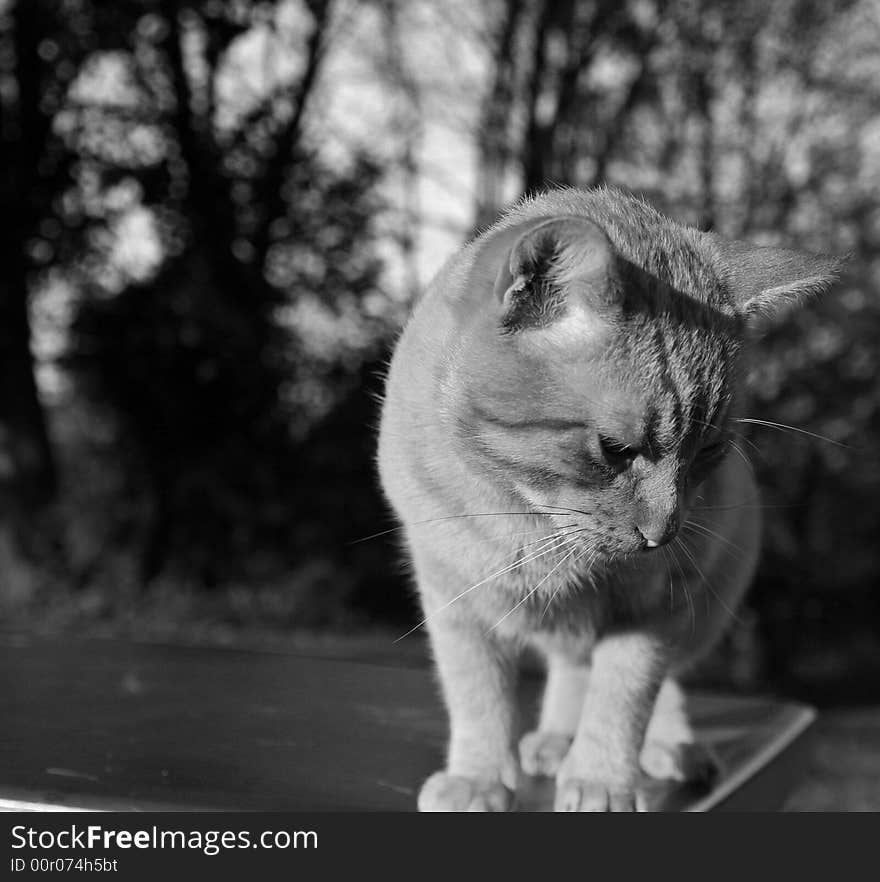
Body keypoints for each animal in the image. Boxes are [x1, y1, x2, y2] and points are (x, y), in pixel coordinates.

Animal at [376, 187, 840, 812]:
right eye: (615, 449)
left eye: (708, 452)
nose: (665, 531)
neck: (532, 524)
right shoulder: (456, 602)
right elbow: (478, 698)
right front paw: (480, 777)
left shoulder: (655, 607)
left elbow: (623, 697)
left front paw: (600, 777)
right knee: (572, 667)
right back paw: (555, 739)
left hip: (703, 605)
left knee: (652, 684)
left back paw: (666, 747)